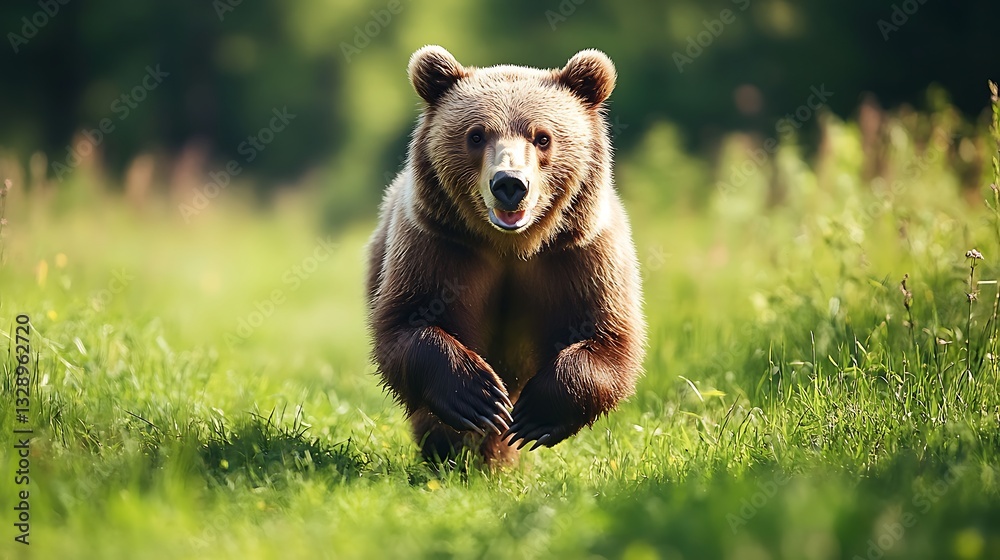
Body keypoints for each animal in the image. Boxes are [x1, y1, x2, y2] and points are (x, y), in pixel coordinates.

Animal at [366, 45, 646, 466]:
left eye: (543, 137)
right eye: (476, 135)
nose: (510, 184)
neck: (512, 246)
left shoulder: (580, 254)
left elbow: (608, 339)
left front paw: (537, 413)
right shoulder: (440, 246)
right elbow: (408, 324)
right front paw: (477, 395)